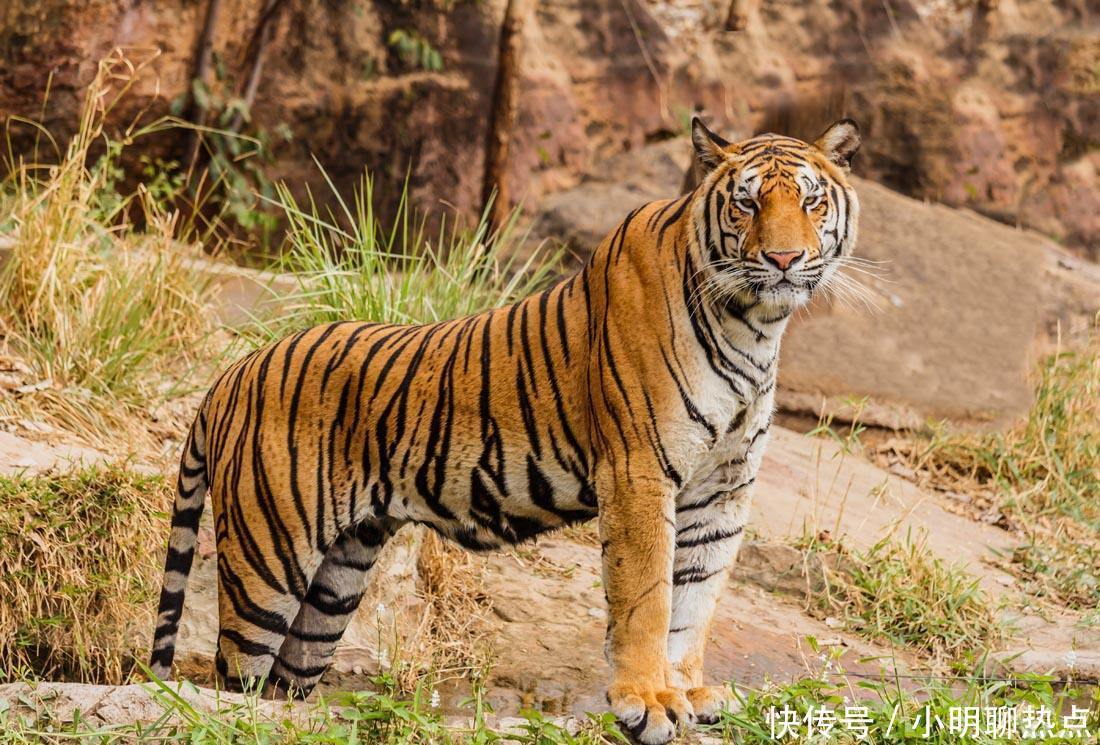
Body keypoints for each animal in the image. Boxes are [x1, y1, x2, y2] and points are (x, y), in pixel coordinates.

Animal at [149, 117, 861, 744]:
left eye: (811, 200)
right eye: (746, 203)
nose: (784, 257)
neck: (755, 326)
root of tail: (232, 372)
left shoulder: (723, 489)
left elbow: (696, 601)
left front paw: (686, 692)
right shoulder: (639, 471)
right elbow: (649, 598)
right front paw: (648, 703)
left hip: (335, 582)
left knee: (283, 684)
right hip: (267, 560)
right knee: (232, 679)